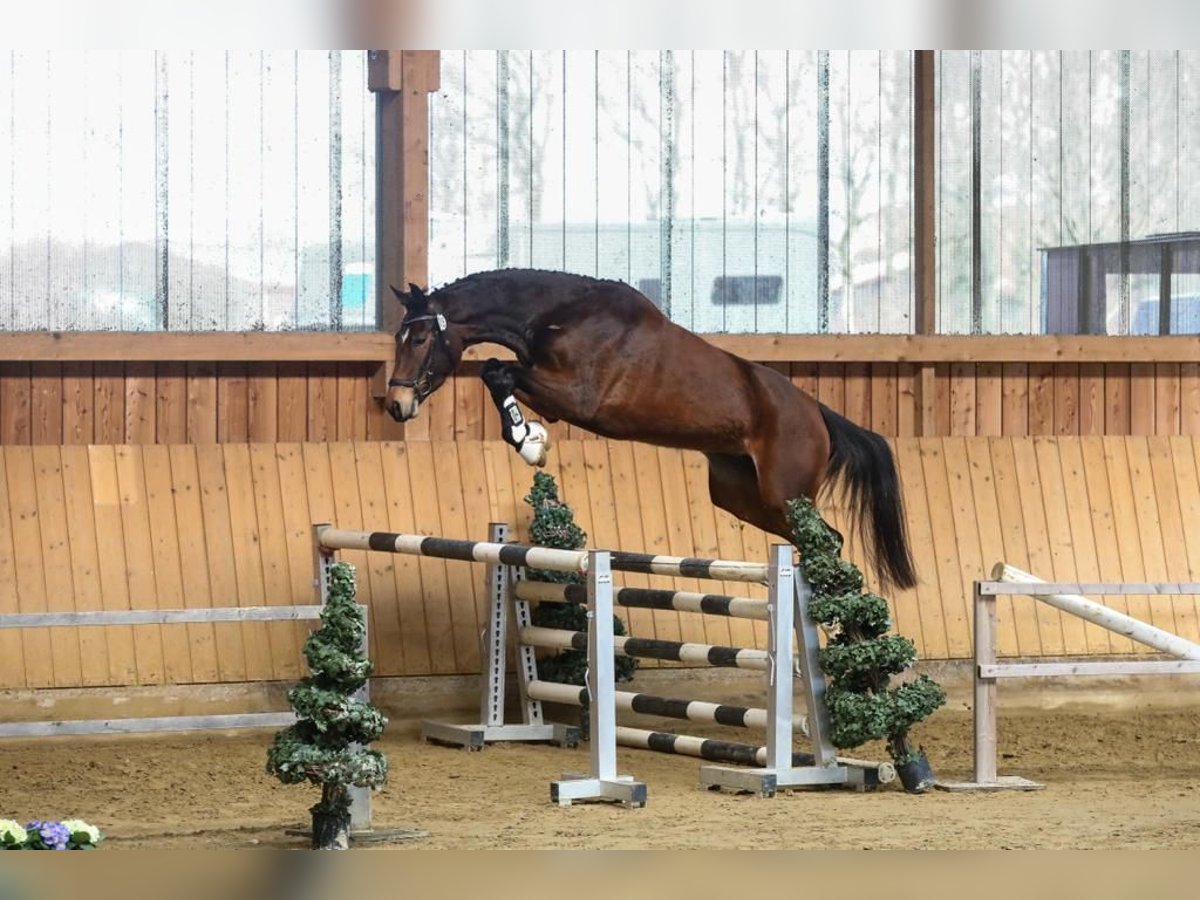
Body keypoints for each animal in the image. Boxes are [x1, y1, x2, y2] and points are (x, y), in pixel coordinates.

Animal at [388, 267, 912, 592]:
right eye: (400, 337)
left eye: (420, 337)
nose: (397, 404)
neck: (559, 314)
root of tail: (817, 413)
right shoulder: (554, 393)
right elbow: (497, 373)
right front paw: (530, 438)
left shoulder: (580, 397)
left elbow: (497, 371)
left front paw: (528, 441)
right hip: (744, 495)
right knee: (816, 539)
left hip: (785, 491)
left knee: (829, 541)